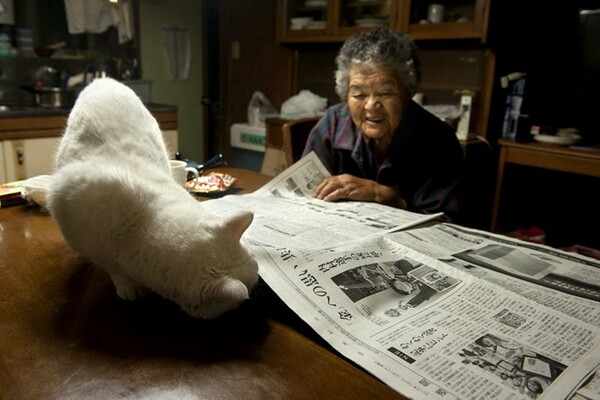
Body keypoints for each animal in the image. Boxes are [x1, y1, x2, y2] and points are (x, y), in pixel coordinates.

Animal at [48, 79, 258, 318]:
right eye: (253, 284)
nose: (259, 276)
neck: (139, 226)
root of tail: (104, 80)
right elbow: (113, 268)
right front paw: (127, 286)